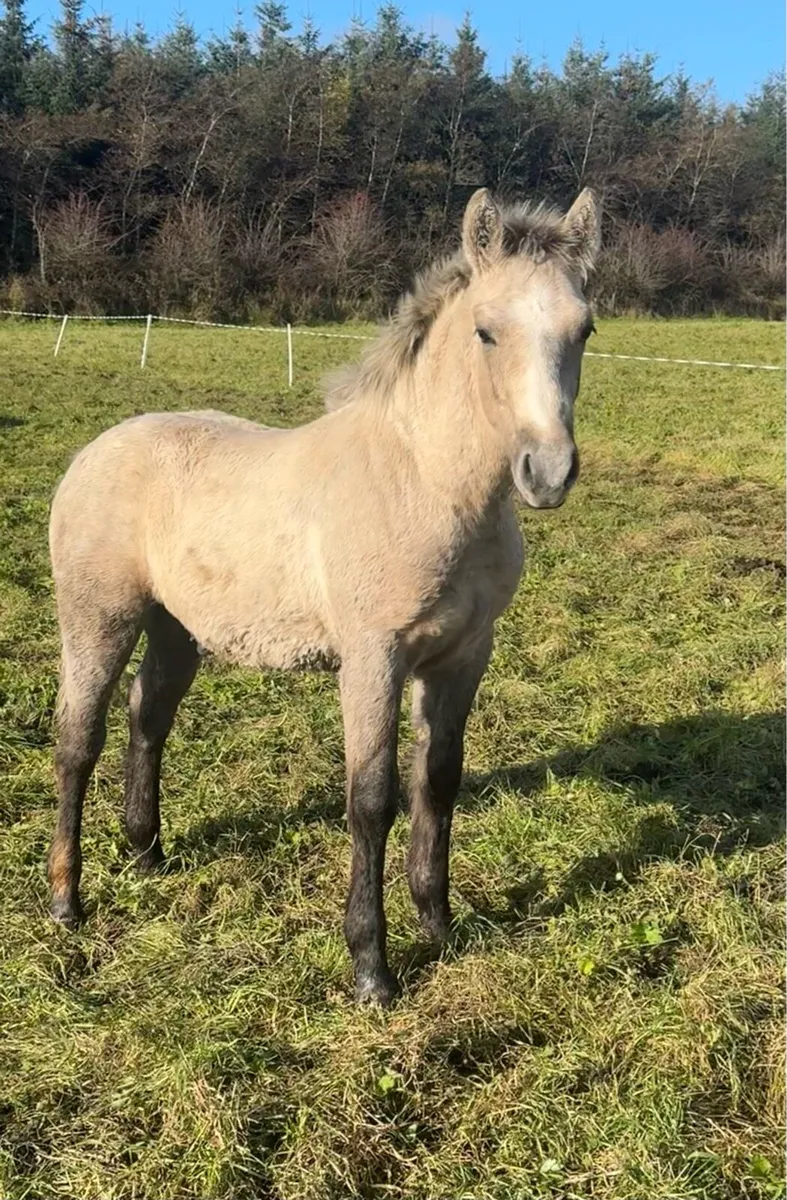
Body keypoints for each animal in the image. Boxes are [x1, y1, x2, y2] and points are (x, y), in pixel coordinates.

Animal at [47, 187, 601, 1005]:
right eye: (485, 331)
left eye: (584, 328)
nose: (548, 472)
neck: (425, 484)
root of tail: (94, 450)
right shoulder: (373, 659)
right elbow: (370, 797)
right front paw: (371, 968)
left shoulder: (462, 656)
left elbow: (438, 782)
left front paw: (440, 926)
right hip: (98, 621)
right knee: (76, 741)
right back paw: (65, 900)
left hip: (177, 629)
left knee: (148, 719)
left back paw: (145, 854)